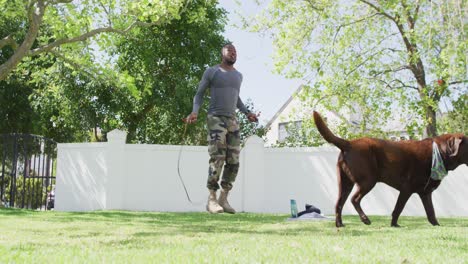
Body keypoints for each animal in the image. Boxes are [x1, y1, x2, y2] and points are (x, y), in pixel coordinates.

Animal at [312, 111, 466, 227]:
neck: (439, 152)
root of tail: (349, 143)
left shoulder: (425, 193)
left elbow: (431, 212)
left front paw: (437, 225)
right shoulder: (406, 189)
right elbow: (398, 208)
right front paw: (394, 225)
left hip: (345, 183)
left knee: (339, 203)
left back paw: (340, 224)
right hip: (368, 181)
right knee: (354, 199)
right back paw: (365, 219)